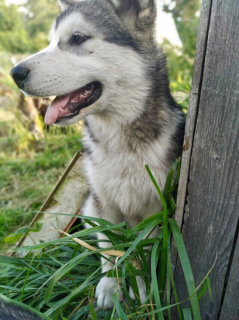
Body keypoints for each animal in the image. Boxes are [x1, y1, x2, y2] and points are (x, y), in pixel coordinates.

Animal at [10, 0, 185, 310]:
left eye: (78, 38)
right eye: (51, 41)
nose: (15, 74)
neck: (119, 142)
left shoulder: (157, 207)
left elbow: (143, 247)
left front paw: (140, 285)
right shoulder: (104, 202)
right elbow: (111, 246)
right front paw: (111, 285)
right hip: (90, 206)